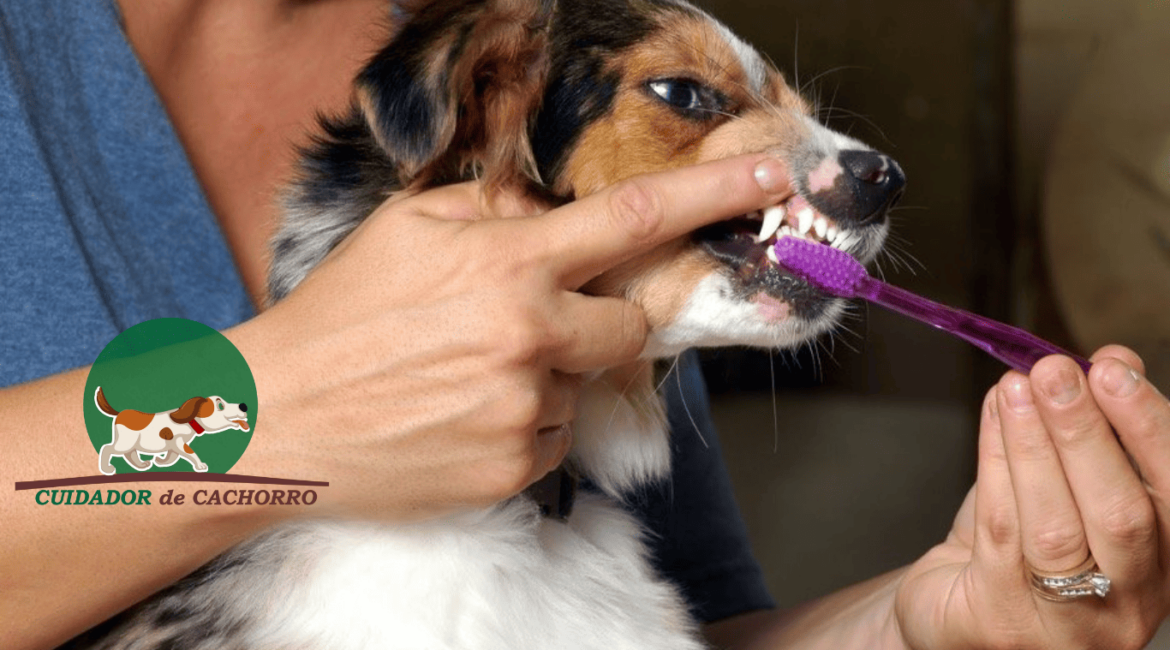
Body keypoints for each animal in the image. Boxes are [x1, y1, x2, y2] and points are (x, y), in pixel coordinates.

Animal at [94, 388, 250, 474]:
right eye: (220, 405)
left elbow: (171, 457)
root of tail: (120, 413)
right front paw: (200, 465)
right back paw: (107, 469)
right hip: (125, 442)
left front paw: (161, 461)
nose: (243, 406)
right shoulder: (178, 443)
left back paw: (141, 465)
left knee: (130, 454)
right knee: (107, 448)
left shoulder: (173, 446)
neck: (190, 421)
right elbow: (191, 453)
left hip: (131, 442)